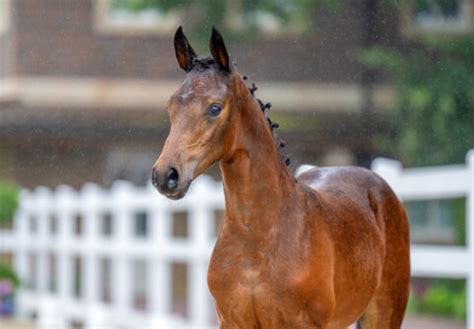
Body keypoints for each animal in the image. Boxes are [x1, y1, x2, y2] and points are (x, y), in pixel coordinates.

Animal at [153, 26, 412, 328]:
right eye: (170, 106)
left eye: (215, 108)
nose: (165, 175)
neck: (256, 242)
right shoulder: (231, 320)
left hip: (384, 312)